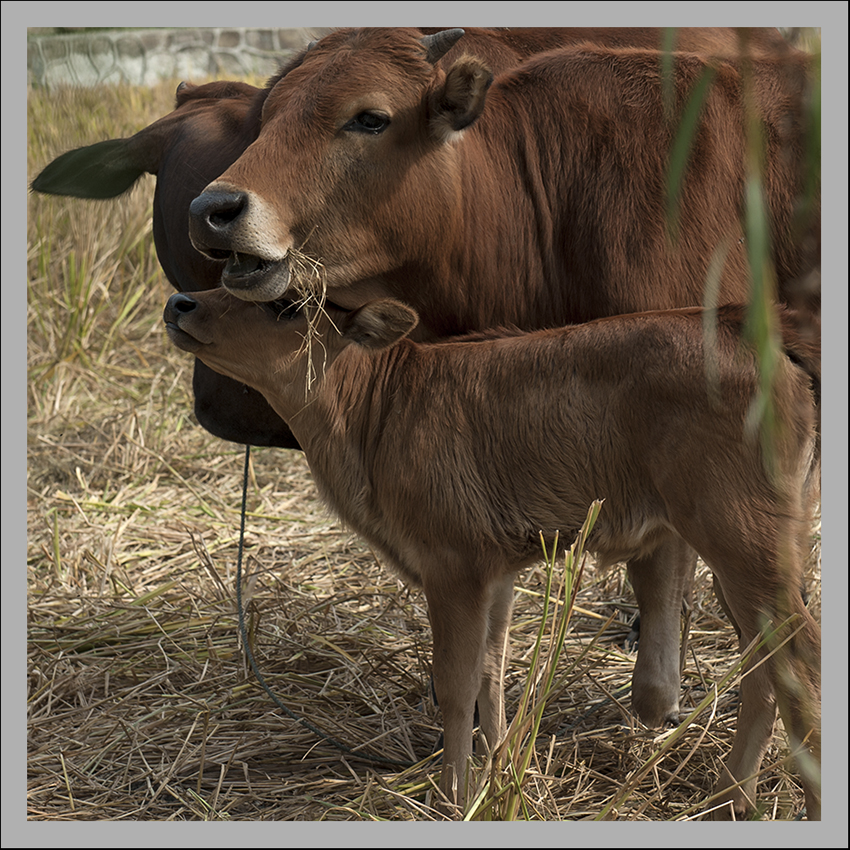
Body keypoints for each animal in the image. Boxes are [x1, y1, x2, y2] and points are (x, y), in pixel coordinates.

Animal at [162, 288, 820, 820]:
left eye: (285, 305)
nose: (179, 302)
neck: (378, 411)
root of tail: (747, 324)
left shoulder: (452, 563)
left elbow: (455, 684)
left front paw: (454, 796)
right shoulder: (496, 569)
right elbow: (492, 674)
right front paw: (500, 778)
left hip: (740, 534)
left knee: (799, 660)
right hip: (764, 546)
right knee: (766, 667)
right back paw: (727, 801)